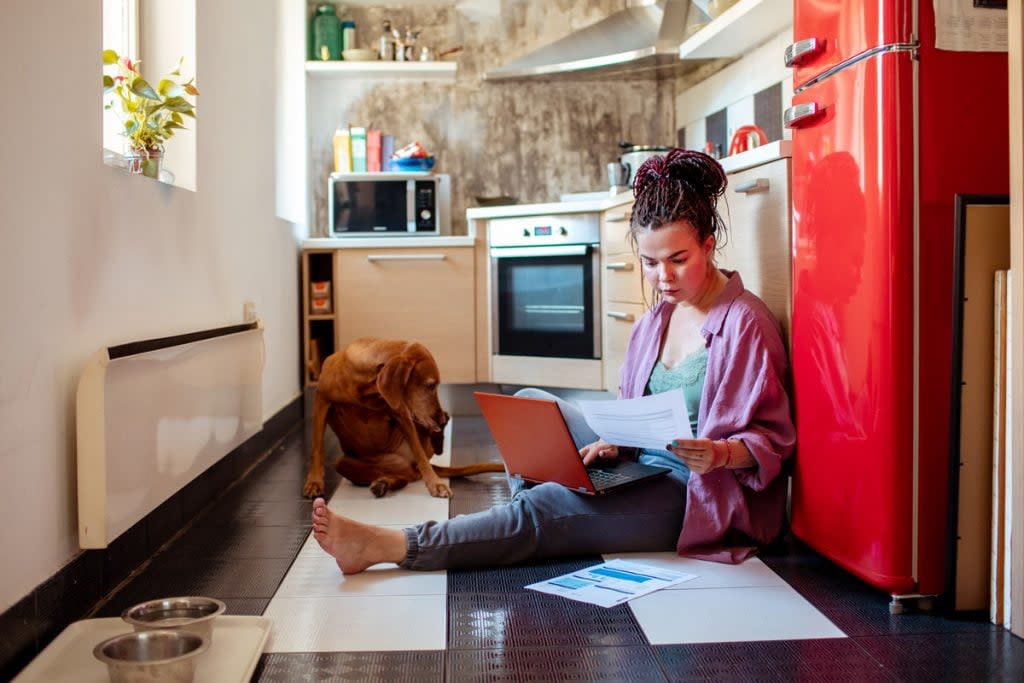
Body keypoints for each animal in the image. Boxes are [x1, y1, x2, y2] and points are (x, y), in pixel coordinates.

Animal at [303, 339, 503, 499]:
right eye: (429, 385)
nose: (438, 418)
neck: (365, 388)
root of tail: (407, 467)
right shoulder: (321, 400)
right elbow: (316, 447)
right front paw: (314, 482)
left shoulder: (400, 412)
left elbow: (420, 453)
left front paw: (435, 483)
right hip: (343, 463)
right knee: (398, 478)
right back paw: (383, 483)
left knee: (410, 473)